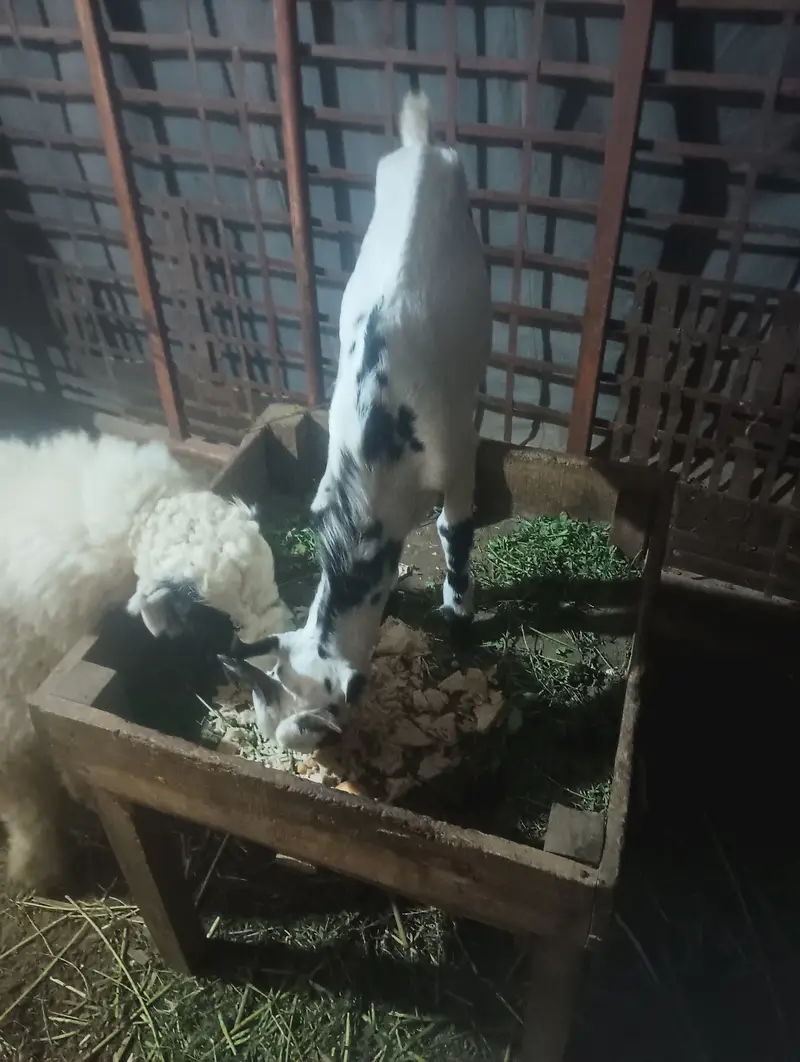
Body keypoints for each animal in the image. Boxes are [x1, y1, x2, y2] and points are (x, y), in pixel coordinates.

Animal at [221, 92, 492, 753]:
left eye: (314, 734)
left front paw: (459, 612)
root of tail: (420, 146)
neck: (384, 445)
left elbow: (455, 532)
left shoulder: (457, 457)